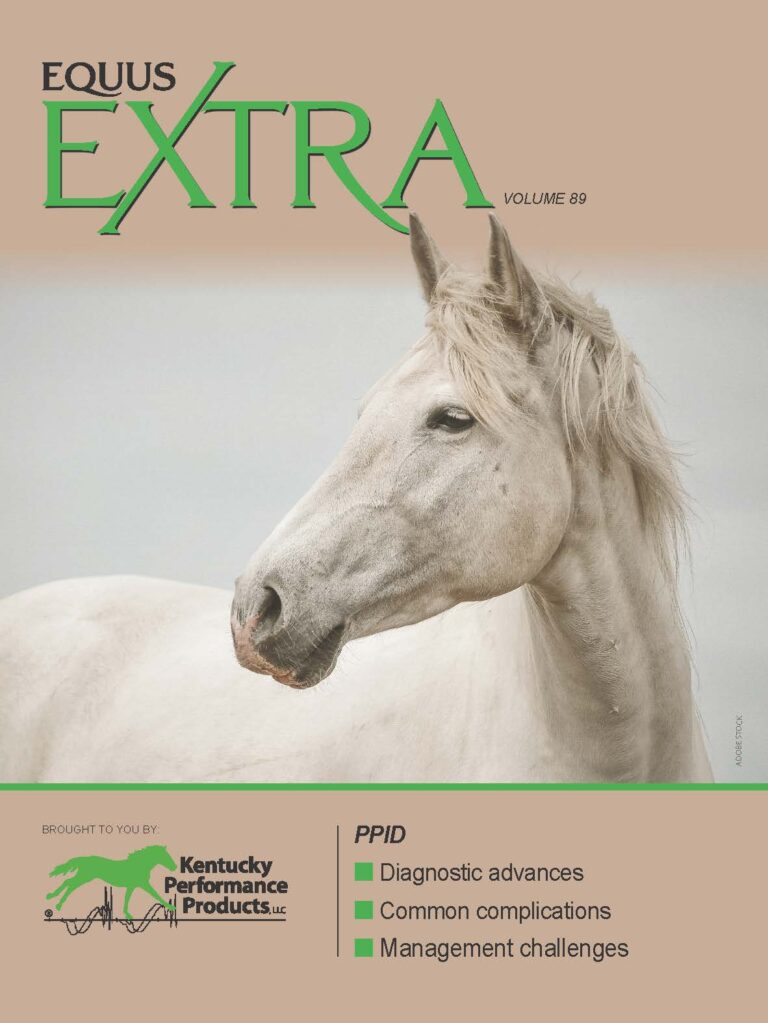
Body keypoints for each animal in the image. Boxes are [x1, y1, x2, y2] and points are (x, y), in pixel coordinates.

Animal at [47, 844, 177, 919]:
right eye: (165, 855)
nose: (174, 867)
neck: (139, 865)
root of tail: (85, 859)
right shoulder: (142, 884)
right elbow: (155, 894)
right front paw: (171, 907)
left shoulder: (132, 886)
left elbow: (127, 898)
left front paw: (127, 914)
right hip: (85, 876)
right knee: (70, 883)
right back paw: (57, 903)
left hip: (84, 876)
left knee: (69, 882)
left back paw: (53, 899)